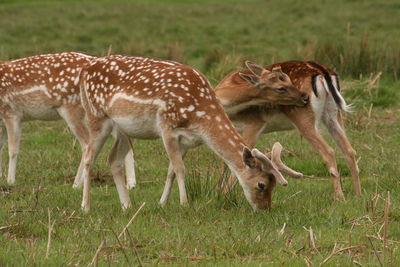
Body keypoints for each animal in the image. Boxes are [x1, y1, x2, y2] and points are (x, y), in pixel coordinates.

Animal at [0, 52, 136, 188]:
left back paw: (76, 184)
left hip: (71, 109)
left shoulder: (11, 113)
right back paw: (131, 183)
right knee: (124, 140)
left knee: (86, 144)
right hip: (101, 115)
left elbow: (12, 150)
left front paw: (10, 181)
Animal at [76, 55, 304, 213]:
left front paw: (162, 203)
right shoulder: (167, 127)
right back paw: (85, 206)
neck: (201, 118)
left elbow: (171, 171)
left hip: (123, 129)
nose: (265, 209)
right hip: (96, 116)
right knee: (88, 156)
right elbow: (180, 168)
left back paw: (127, 205)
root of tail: (85, 70)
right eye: (261, 184)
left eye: (274, 184)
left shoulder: (186, 141)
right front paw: (184, 204)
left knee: (113, 159)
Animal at [214, 59, 360, 200]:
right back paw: (357, 195)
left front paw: (223, 194)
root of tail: (323, 72)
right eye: (281, 87)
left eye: (288, 79)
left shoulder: (254, 122)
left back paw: (339, 197)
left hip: (303, 118)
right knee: (349, 150)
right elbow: (224, 160)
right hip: (332, 113)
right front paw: (217, 190)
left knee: (328, 151)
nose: (304, 97)